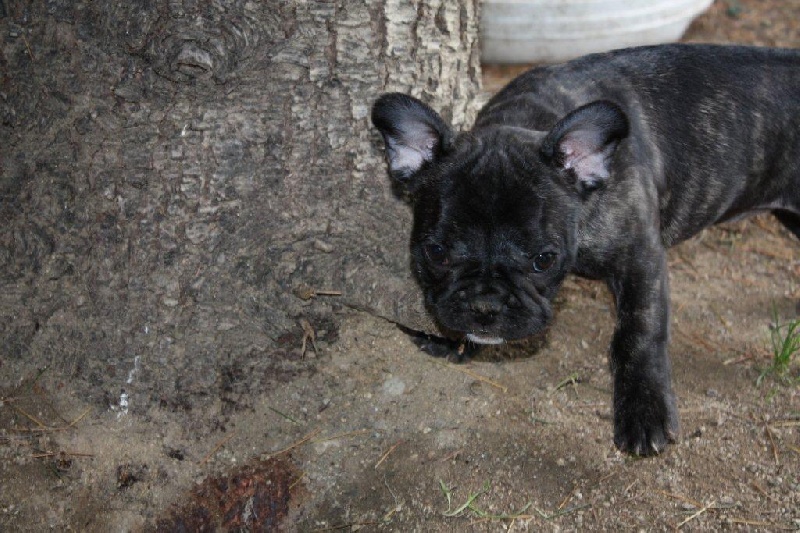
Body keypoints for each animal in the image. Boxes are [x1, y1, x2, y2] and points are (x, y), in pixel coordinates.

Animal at [371, 44, 800, 456]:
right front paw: (451, 338)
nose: (485, 306)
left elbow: (638, 334)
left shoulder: (640, 256)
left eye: (542, 260)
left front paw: (644, 411)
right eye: (437, 252)